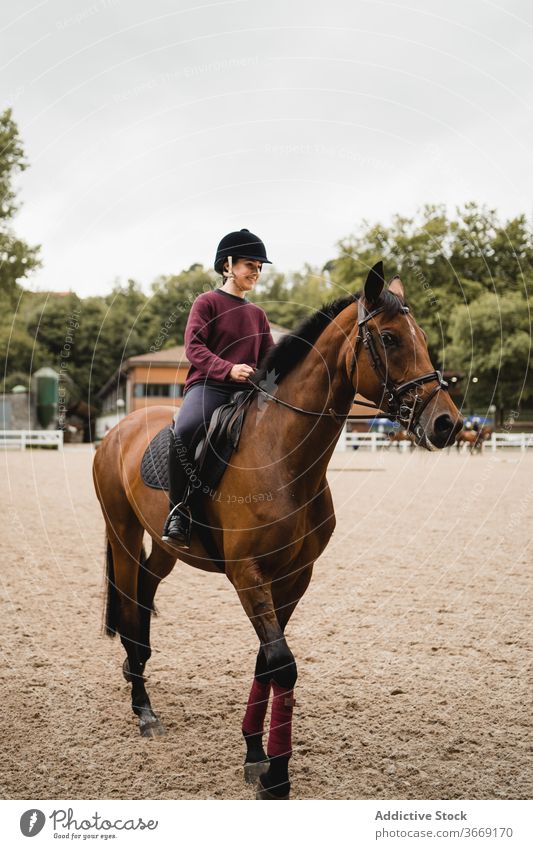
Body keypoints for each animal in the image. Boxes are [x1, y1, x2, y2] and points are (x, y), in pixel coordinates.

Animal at [91, 262, 462, 800]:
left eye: (424, 339)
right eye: (390, 339)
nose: (446, 423)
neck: (283, 457)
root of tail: (120, 428)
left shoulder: (294, 576)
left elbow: (267, 661)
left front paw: (255, 755)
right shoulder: (249, 575)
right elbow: (282, 662)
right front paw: (277, 775)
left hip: (164, 547)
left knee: (143, 592)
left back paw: (135, 673)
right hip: (121, 531)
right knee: (128, 602)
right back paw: (143, 710)